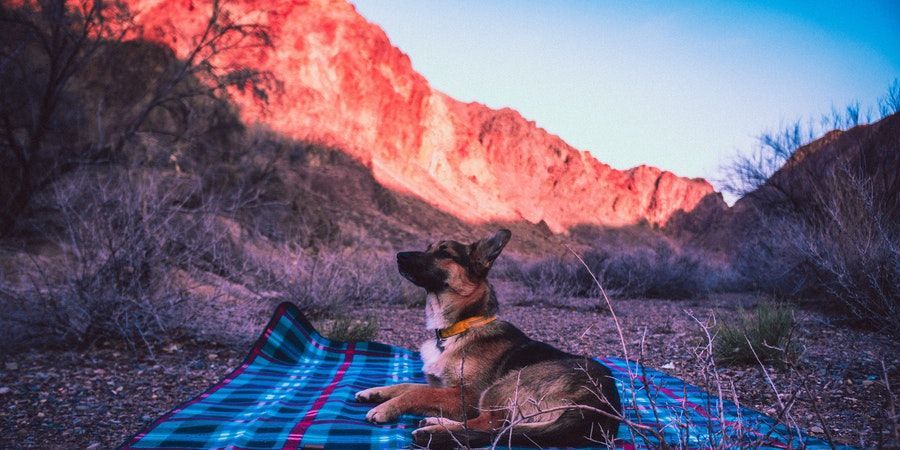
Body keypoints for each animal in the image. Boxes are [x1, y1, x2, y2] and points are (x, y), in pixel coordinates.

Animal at [356, 230, 624, 448]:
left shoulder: (469, 395)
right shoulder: (443, 386)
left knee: (493, 425)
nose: (399, 256)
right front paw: (376, 392)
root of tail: (604, 404)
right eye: (427, 247)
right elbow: (409, 385)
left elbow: (417, 393)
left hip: (506, 384)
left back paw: (433, 428)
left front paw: (385, 408)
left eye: (444, 252)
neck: (458, 329)